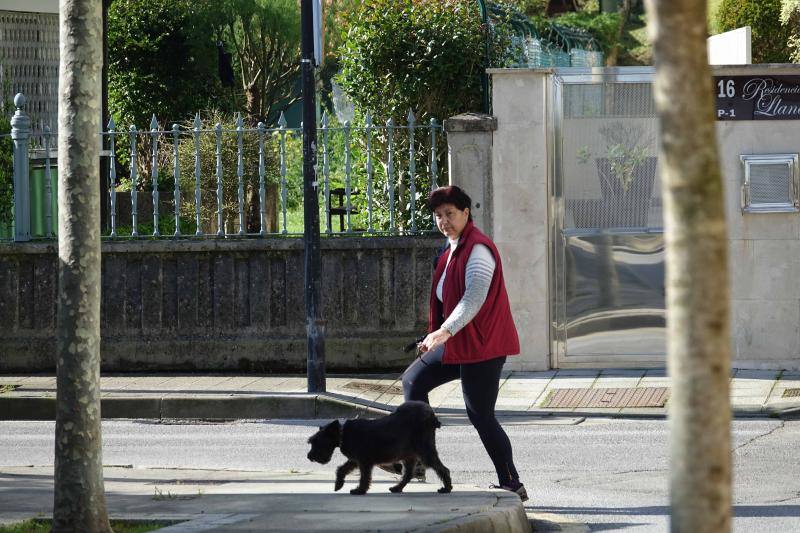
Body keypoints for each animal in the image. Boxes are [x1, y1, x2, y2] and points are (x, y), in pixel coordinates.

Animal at [310, 402, 454, 492]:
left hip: (425, 450)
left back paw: (446, 488)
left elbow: (364, 477)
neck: (342, 434)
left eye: (316, 442)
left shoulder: (364, 462)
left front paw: (360, 490)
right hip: (409, 455)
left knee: (443, 469)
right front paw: (338, 485)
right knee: (408, 474)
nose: (309, 456)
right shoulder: (356, 460)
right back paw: (397, 488)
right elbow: (341, 469)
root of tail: (432, 416)